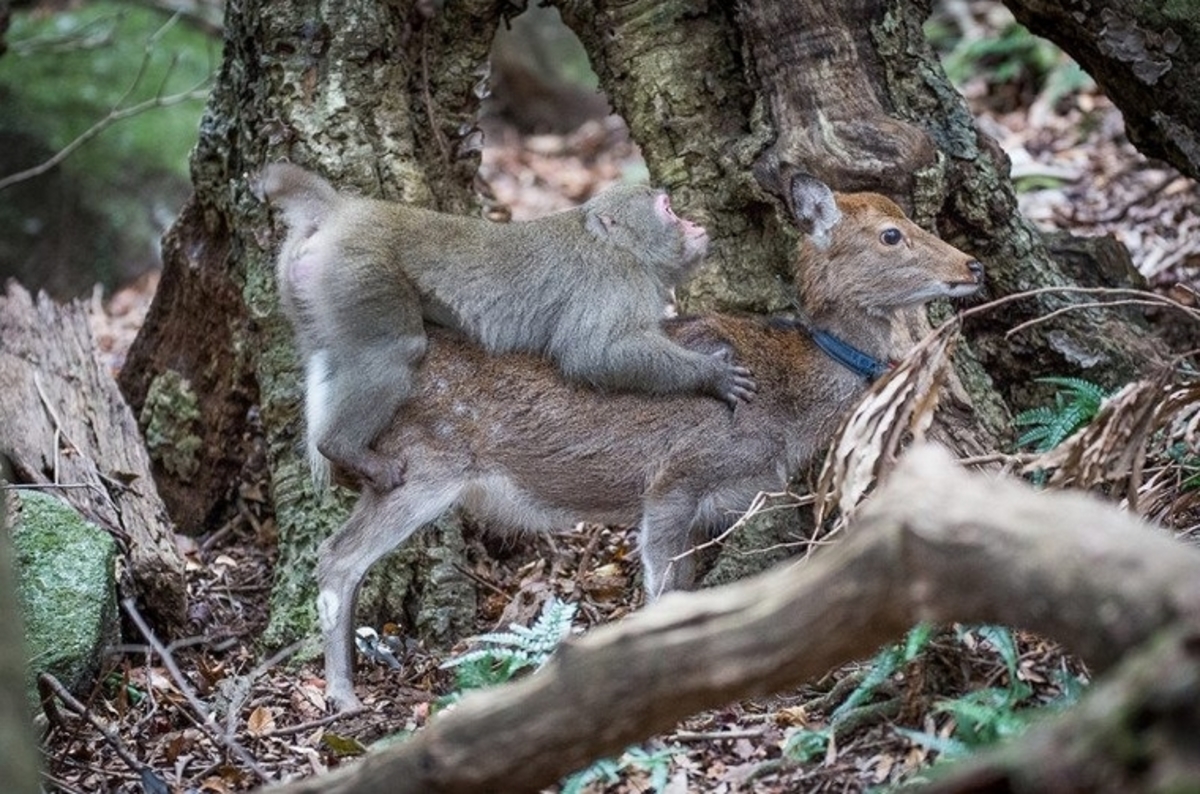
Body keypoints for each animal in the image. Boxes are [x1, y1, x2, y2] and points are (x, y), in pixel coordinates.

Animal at [258, 165, 753, 494]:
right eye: (666, 209)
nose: (693, 221)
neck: (621, 247)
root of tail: (344, 211)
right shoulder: (614, 280)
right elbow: (592, 354)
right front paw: (710, 374)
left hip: (311, 285)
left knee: (327, 354)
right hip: (359, 270)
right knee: (396, 351)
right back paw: (344, 448)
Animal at [309, 172, 984, 710]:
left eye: (908, 217)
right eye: (891, 235)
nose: (971, 266)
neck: (782, 404)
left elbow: (683, 593)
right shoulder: (674, 478)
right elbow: (660, 594)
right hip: (421, 465)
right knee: (337, 556)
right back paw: (343, 697)